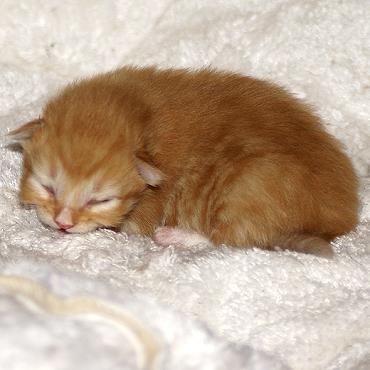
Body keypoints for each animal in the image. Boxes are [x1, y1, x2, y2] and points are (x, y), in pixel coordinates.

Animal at [10, 66, 358, 256]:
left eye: (100, 200)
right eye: (47, 186)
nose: (63, 223)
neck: (145, 123)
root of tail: (343, 215)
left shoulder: (146, 210)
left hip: (250, 185)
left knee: (234, 241)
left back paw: (177, 236)